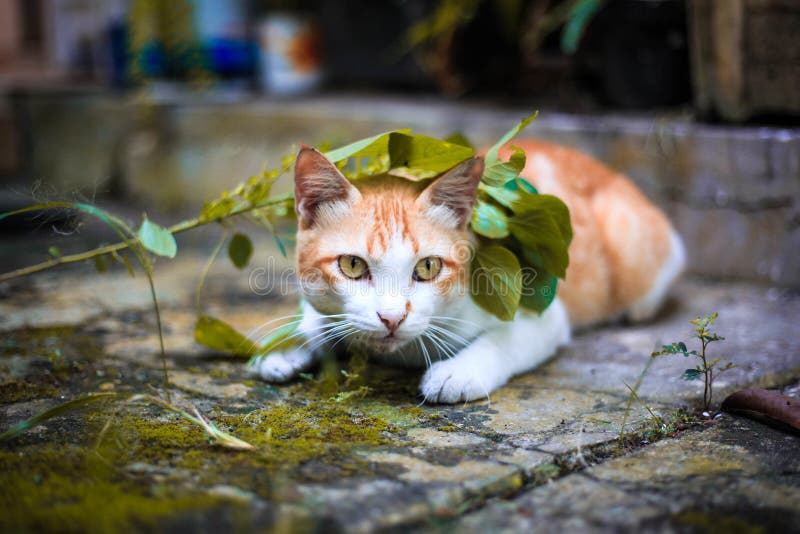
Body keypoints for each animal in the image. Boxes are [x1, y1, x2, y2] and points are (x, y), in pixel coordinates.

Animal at [252, 140, 688, 404]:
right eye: (352, 265)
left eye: (428, 267)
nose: (391, 318)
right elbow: (317, 321)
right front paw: (286, 344)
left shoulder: (543, 314)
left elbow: (503, 340)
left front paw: (458, 372)